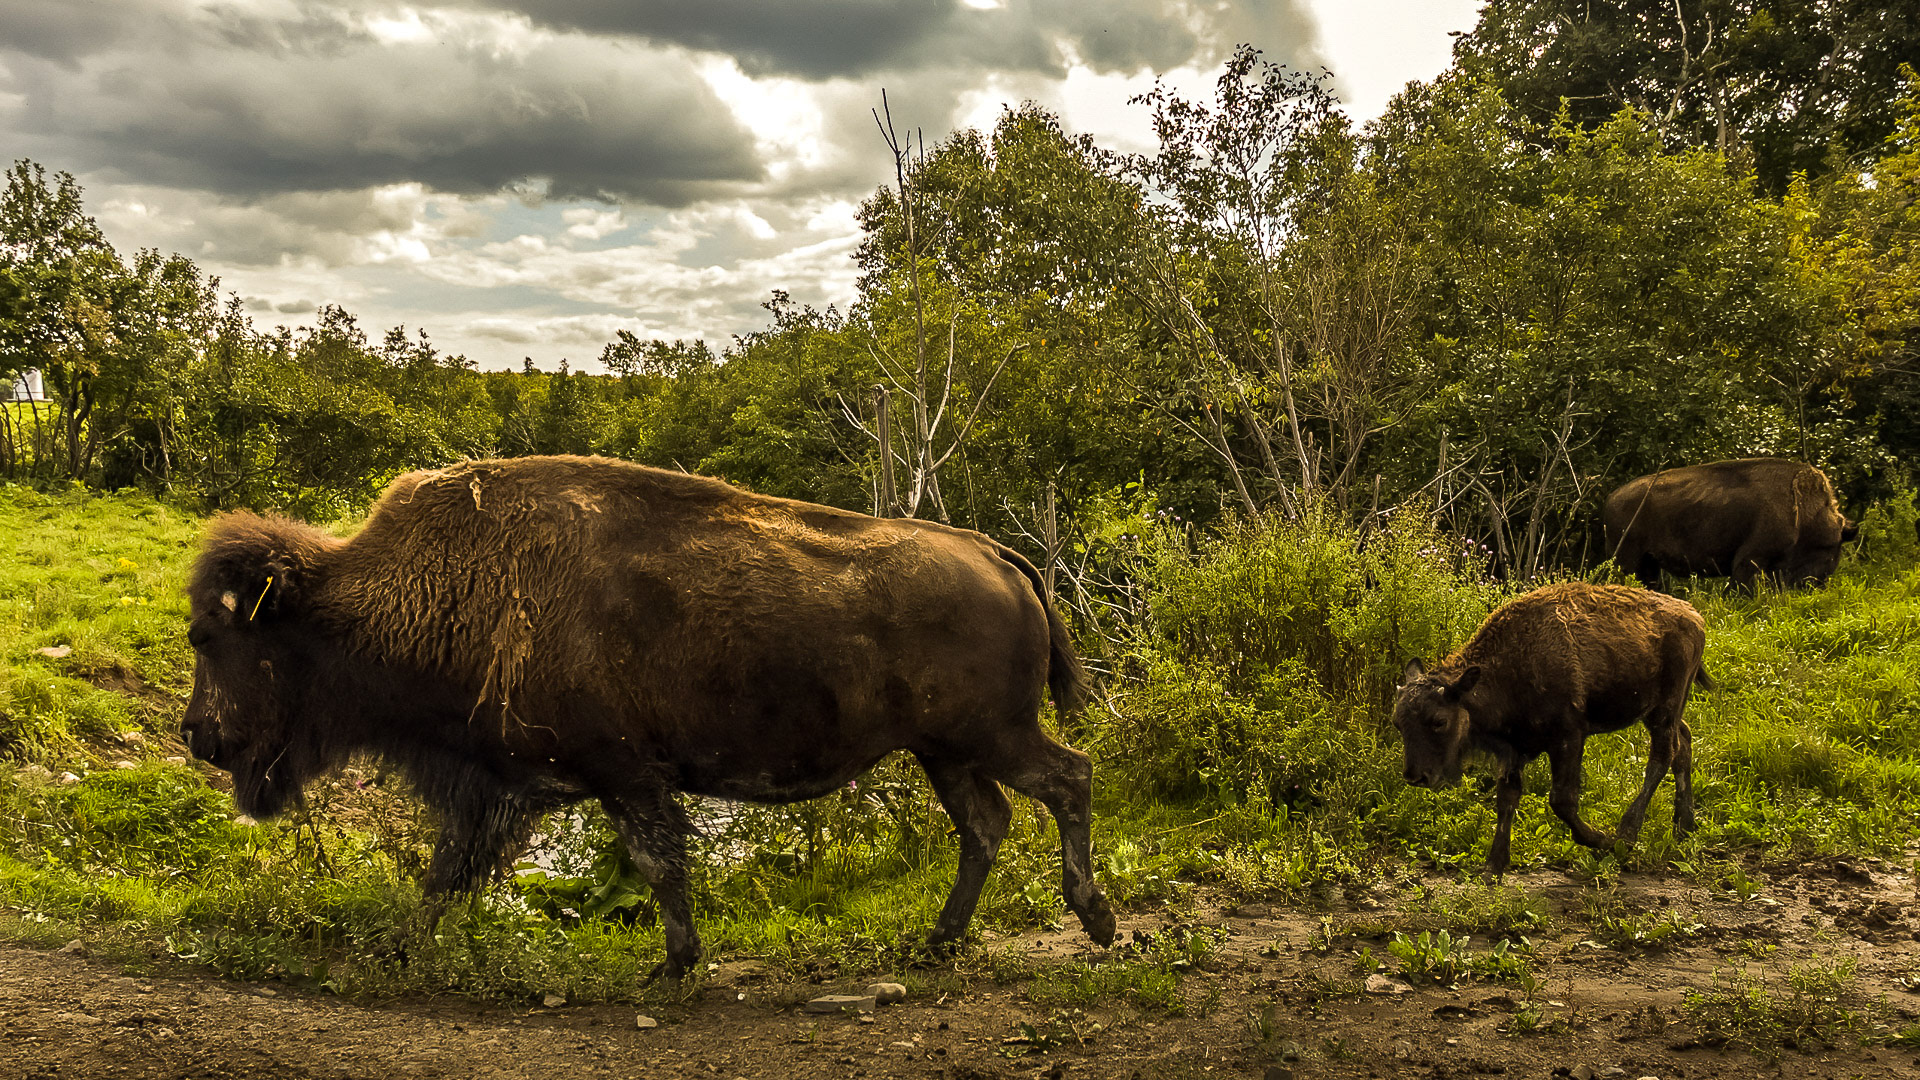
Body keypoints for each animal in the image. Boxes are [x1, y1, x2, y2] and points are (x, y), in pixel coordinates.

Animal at [182, 455, 1117, 978]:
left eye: (212, 635)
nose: (195, 735)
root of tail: (997, 554)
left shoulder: (623, 775)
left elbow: (658, 864)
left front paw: (672, 967)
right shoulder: (516, 791)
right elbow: (448, 874)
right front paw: (403, 949)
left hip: (990, 736)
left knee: (1068, 779)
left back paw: (1095, 919)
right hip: (944, 751)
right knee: (987, 823)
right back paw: (938, 944)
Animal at [1394, 582, 1710, 874]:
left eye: (1439, 721)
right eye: (1397, 723)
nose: (1415, 776)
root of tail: (1694, 615)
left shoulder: (1568, 739)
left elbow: (1561, 800)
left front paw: (1603, 840)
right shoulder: (1514, 751)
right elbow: (1506, 800)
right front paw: (1493, 867)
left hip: (1665, 709)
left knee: (1662, 756)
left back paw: (1627, 834)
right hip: (1661, 710)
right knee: (1683, 741)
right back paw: (1684, 826)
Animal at [1603, 457, 1857, 588]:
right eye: (1830, 547)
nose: (1818, 583)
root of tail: (1611, 498)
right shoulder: (1749, 560)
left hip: (1648, 564)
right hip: (1627, 560)